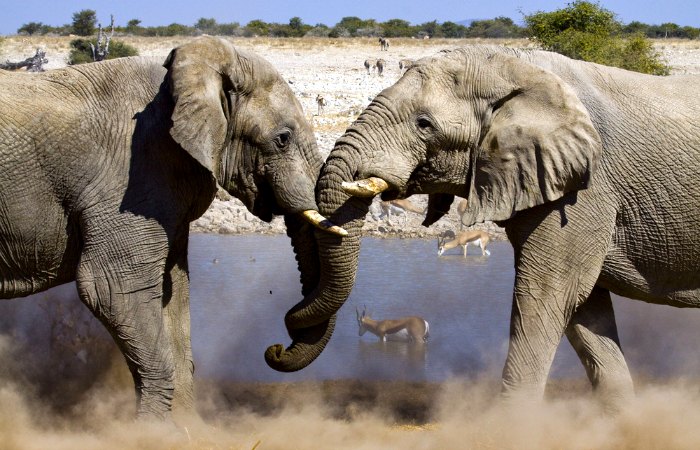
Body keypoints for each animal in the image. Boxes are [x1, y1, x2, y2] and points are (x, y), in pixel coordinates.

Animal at [0, 37, 342, 420]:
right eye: (283, 138)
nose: (275, 349)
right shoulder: (131, 177)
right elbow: (112, 288)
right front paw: (153, 429)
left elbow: (174, 290)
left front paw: (188, 428)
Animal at [266, 44, 700, 412]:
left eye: (424, 124)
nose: (276, 349)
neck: (516, 65)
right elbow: (584, 311)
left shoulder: (584, 191)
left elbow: (546, 296)